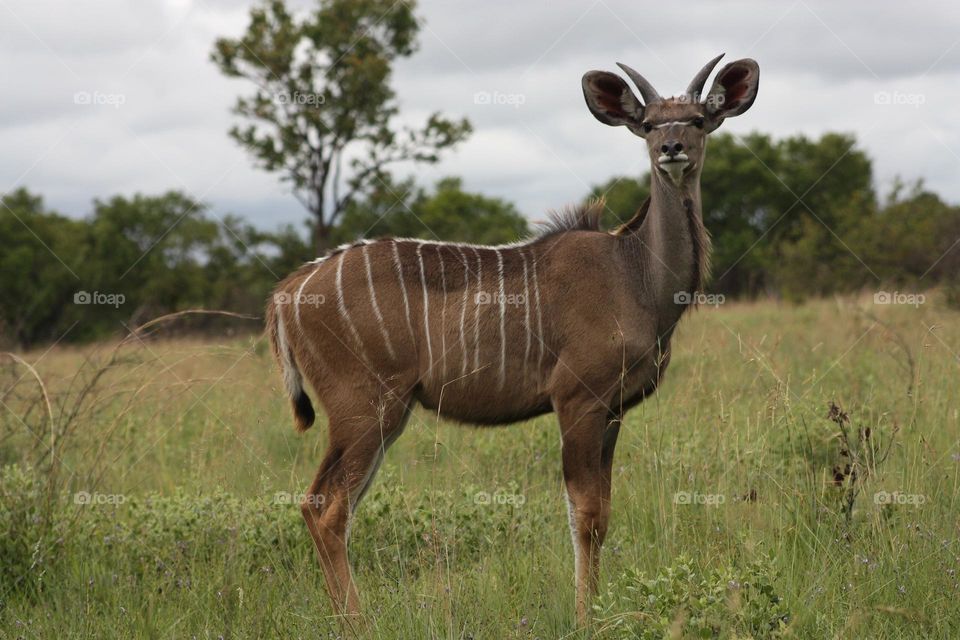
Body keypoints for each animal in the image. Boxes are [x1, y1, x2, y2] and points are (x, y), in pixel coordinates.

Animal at [264, 55, 756, 624]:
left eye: (697, 121)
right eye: (651, 125)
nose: (671, 149)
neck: (634, 273)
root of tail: (288, 292)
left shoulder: (614, 409)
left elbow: (604, 511)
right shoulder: (577, 399)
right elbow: (585, 513)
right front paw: (585, 617)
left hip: (384, 414)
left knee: (327, 504)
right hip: (364, 408)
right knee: (326, 506)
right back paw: (358, 622)